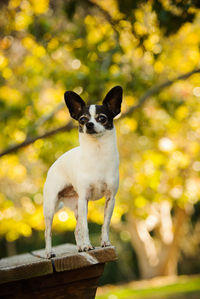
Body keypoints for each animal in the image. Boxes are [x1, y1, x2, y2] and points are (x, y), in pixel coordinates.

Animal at [43, 85, 122, 258]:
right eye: (82, 120)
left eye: (102, 118)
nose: (89, 125)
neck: (97, 152)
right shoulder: (84, 198)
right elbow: (85, 227)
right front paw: (87, 246)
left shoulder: (110, 199)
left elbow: (105, 225)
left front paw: (104, 243)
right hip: (51, 207)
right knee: (48, 232)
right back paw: (49, 252)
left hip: (76, 206)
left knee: (76, 229)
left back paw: (79, 247)